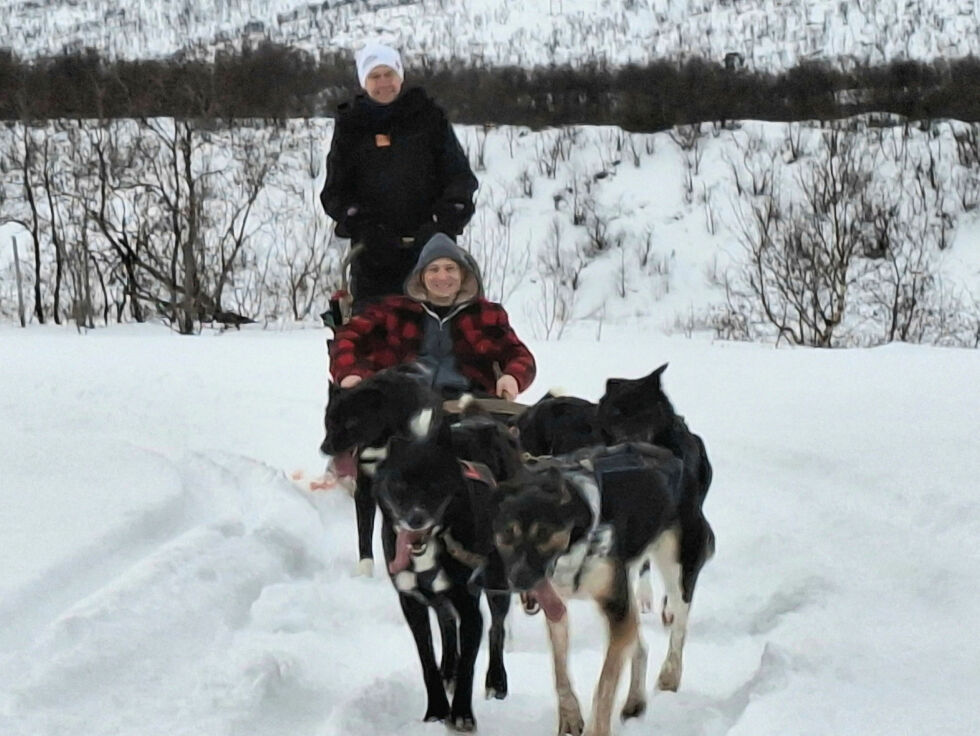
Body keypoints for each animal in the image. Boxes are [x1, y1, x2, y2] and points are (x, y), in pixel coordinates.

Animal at [490, 442, 712, 736]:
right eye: (507, 533)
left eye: (543, 533)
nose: (519, 580)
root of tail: (671, 457)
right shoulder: (560, 610)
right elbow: (560, 671)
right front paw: (570, 716)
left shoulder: (615, 608)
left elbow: (606, 683)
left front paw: (597, 729)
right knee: (639, 644)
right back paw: (635, 700)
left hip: (677, 569)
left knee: (678, 627)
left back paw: (669, 675)